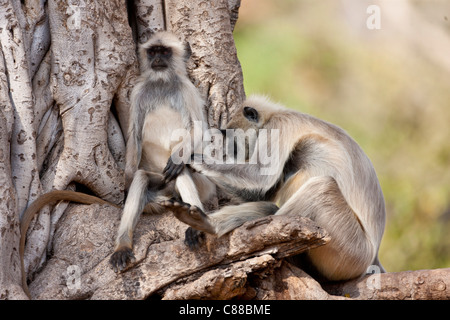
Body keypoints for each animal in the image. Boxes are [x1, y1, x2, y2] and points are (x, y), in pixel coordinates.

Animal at [108, 31, 215, 272]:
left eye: (165, 52)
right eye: (153, 52)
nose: (157, 60)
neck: (162, 82)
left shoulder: (187, 89)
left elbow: (199, 130)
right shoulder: (139, 91)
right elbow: (134, 135)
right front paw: (127, 180)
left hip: (204, 185)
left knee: (181, 168)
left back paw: (196, 222)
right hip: (160, 183)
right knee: (141, 177)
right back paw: (122, 246)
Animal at [162, 94, 386, 280]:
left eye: (232, 140)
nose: (228, 150)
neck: (274, 115)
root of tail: (372, 257)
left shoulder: (278, 127)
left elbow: (260, 175)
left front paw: (189, 158)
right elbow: (261, 192)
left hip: (351, 251)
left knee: (319, 188)